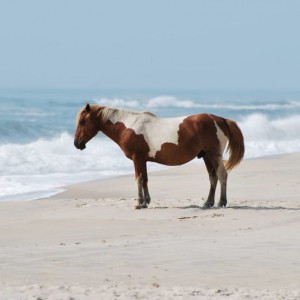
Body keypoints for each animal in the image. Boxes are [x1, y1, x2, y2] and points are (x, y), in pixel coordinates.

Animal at [74, 103, 244, 209]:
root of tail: (220, 119)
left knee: (222, 175)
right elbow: (145, 179)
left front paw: (139, 203)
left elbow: (138, 179)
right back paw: (208, 203)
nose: (77, 144)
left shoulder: (137, 158)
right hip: (206, 156)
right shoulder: (143, 160)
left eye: (83, 122)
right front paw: (146, 202)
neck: (129, 126)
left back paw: (221, 202)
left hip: (213, 155)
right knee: (213, 177)